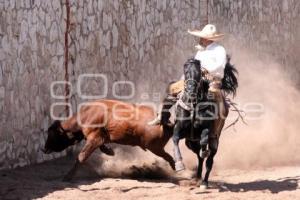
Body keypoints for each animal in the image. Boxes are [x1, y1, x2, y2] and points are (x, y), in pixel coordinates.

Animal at [43, 99, 177, 180]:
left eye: (53, 135)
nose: (44, 149)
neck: (86, 115)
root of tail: (164, 122)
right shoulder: (100, 138)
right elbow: (102, 147)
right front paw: (110, 151)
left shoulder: (94, 138)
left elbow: (81, 156)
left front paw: (68, 176)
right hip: (155, 147)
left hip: (155, 147)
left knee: (169, 157)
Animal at [172, 56, 238, 189]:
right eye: (186, 71)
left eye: (198, 73)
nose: (191, 89)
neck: (193, 105)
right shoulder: (179, 127)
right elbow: (175, 138)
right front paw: (179, 165)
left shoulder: (206, 129)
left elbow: (204, 140)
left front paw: (204, 151)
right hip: (190, 143)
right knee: (199, 157)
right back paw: (197, 177)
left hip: (214, 141)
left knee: (209, 160)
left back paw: (204, 182)